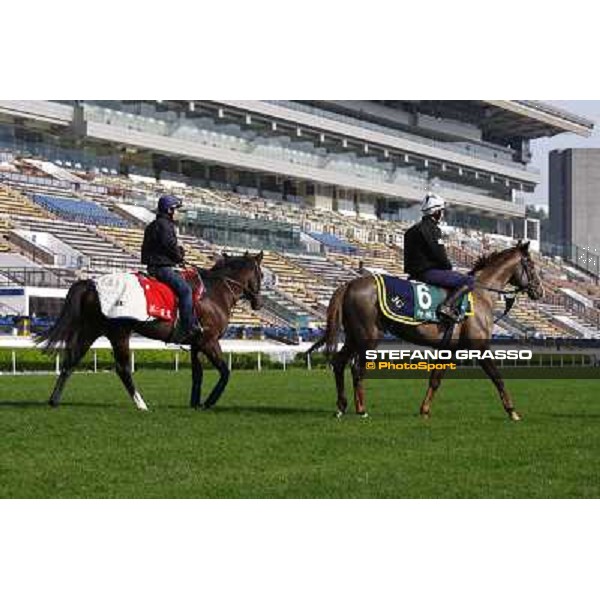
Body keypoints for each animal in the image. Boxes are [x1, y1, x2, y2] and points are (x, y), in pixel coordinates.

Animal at [37, 251, 262, 410]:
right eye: (261, 274)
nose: (258, 302)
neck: (215, 291)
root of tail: (91, 284)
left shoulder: (196, 344)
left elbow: (197, 374)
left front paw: (196, 403)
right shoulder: (209, 341)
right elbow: (225, 372)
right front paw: (209, 402)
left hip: (91, 331)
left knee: (70, 362)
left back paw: (54, 400)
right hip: (119, 333)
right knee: (123, 369)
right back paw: (141, 404)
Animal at [310, 240, 544, 422]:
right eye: (531, 266)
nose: (540, 291)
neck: (480, 296)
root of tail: (349, 284)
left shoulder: (448, 350)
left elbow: (435, 380)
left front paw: (424, 410)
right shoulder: (479, 347)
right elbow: (497, 377)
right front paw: (512, 411)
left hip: (353, 336)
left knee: (339, 363)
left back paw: (341, 406)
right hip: (368, 337)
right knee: (357, 369)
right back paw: (361, 410)